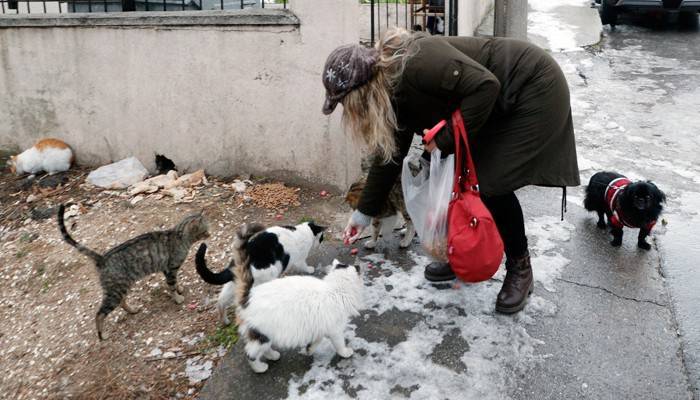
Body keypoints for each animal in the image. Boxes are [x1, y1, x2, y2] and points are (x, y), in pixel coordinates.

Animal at [56, 205, 209, 340]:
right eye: (206, 230)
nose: (210, 234)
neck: (180, 236)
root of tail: (102, 258)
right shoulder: (170, 270)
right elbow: (171, 286)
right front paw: (177, 298)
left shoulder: (170, 271)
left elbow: (176, 283)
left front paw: (179, 289)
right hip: (114, 292)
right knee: (99, 314)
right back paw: (102, 335)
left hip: (121, 287)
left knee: (121, 302)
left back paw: (133, 310)